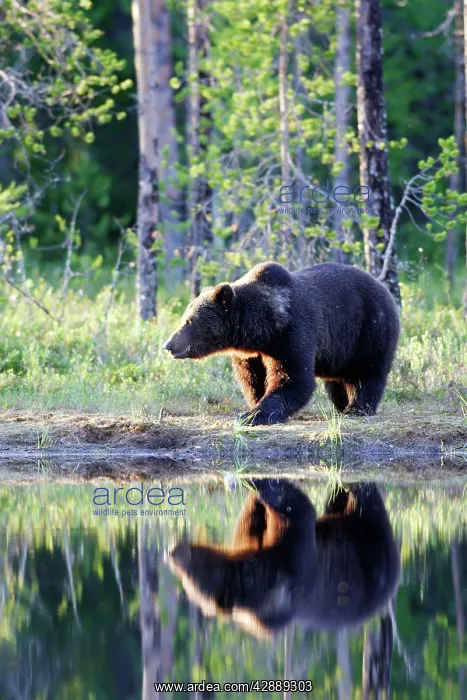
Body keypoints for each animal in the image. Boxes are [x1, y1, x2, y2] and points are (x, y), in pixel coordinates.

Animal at [164, 262, 400, 425]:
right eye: (184, 318)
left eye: (189, 321)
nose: (169, 345)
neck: (264, 329)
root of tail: (383, 287)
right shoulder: (251, 354)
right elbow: (253, 379)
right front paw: (255, 404)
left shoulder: (292, 334)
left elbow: (293, 379)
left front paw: (252, 415)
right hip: (341, 350)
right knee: (337, 381)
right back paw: (341, 405)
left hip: (369, 328)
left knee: (368, 372)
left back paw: (358, 408)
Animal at [169, 479, 401, 638]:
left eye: (188, 577)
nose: (171, 553)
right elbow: (251, 522)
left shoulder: (292, 565)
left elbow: (296, 511)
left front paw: (265, 484)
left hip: (369, 558)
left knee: (366, 505)